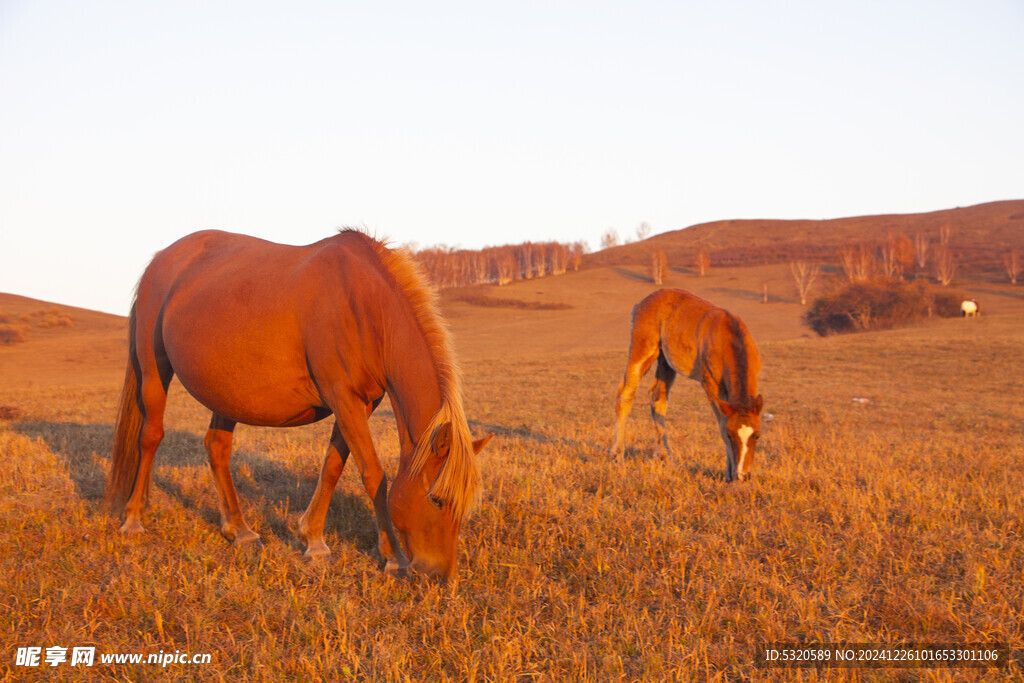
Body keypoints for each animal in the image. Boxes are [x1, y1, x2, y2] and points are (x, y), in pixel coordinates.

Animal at [103, 229, 491, 581]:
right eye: (436, 500)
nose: (439, 576)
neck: (365, 307)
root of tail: (161, 260)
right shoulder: (343, 398)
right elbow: (373, 476)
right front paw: (393, 556)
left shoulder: (360, 404)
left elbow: (333, 466)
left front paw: (313, 540)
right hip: (154, 371)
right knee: (150, 437)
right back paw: (134, 518)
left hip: (226, 393)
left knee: (217, 448)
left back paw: (239, 530)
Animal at [606, 288, 761, 481]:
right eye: (730, 435)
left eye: (757, 435)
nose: (743, 475)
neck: (729, 338)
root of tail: (643, 302)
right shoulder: (710, 384)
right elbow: (721, 422)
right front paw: (728, 475)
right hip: (643, 350)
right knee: (625, 394)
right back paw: (617, 456)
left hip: (665, 361)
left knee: (657, 398)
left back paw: (666, 459)